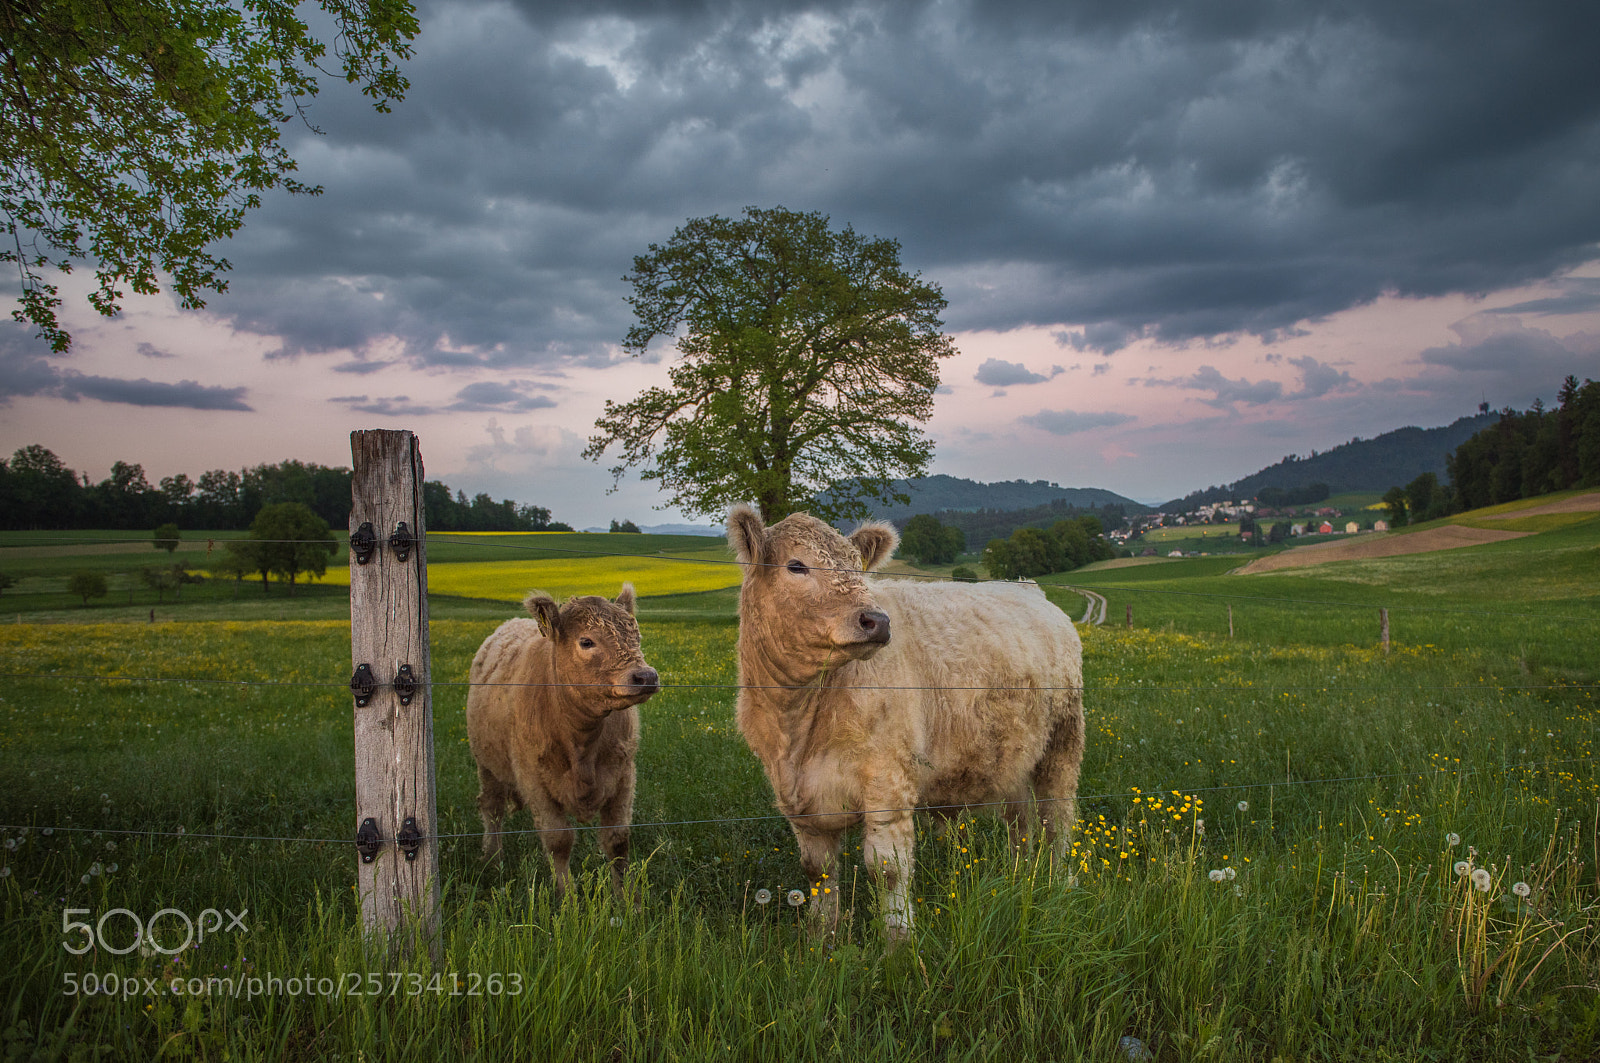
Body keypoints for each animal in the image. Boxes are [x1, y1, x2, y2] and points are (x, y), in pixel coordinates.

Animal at [466, 585, 660, 901]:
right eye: (586, 641)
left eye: (636, 636)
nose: (646, 676)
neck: (581, 742)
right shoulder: (534, 780)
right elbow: (559, 840)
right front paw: (568, 899)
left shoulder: (624, 775)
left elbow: (617, 840)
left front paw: (626, 900)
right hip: (487, 764)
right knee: (492, 808)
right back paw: (492, 860)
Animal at [727, 505, 1084, 941]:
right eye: (796, 565)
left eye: (857, 567)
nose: (876, 620)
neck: (797, 724)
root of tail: (1027, 587)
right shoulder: (798, 800)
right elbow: (817, 872)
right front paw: (821, 941)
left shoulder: (888, 782)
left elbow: (888, 871)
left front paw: (900, 944)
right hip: (1013, 755)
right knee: (1020, 821)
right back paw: (1021, 879)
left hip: (1064, 740)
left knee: (1057, 819)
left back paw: (1059, 882)